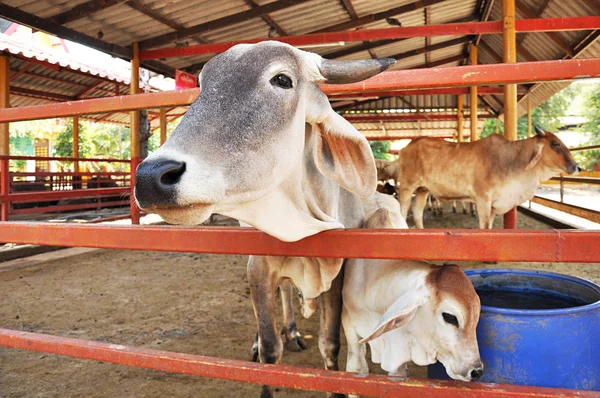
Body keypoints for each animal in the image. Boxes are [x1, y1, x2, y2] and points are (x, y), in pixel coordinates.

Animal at [136, 42, 396, 396]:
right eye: (202, 85)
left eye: (282, 79)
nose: (150, 176)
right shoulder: (258, 265)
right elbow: (271, 351)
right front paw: (264, 346)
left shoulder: (337, 271)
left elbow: (330, 345)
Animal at [398, 126, 580, 229]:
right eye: (555, 143)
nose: (578, 167)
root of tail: (407, 146)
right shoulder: (483, 199)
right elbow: (485, 226)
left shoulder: (494, 204)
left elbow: (490, 226)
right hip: (407, 187)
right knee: (403, 211)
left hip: (422, 190)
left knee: (417, 213)